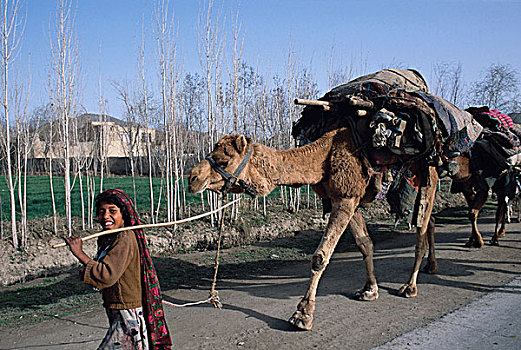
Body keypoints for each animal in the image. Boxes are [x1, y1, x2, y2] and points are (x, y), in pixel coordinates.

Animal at [187, 127, 438, 330]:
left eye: (224, 161)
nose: (192, 178)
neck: (323, 157)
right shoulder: (346, 198)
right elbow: (364, 243)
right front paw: (369, 290)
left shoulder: (346, 197)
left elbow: (320, 256)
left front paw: (303, 314)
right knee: (431, 222)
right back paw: (430, 267)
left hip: (428, 183)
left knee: (421, 234)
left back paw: (410, 287)